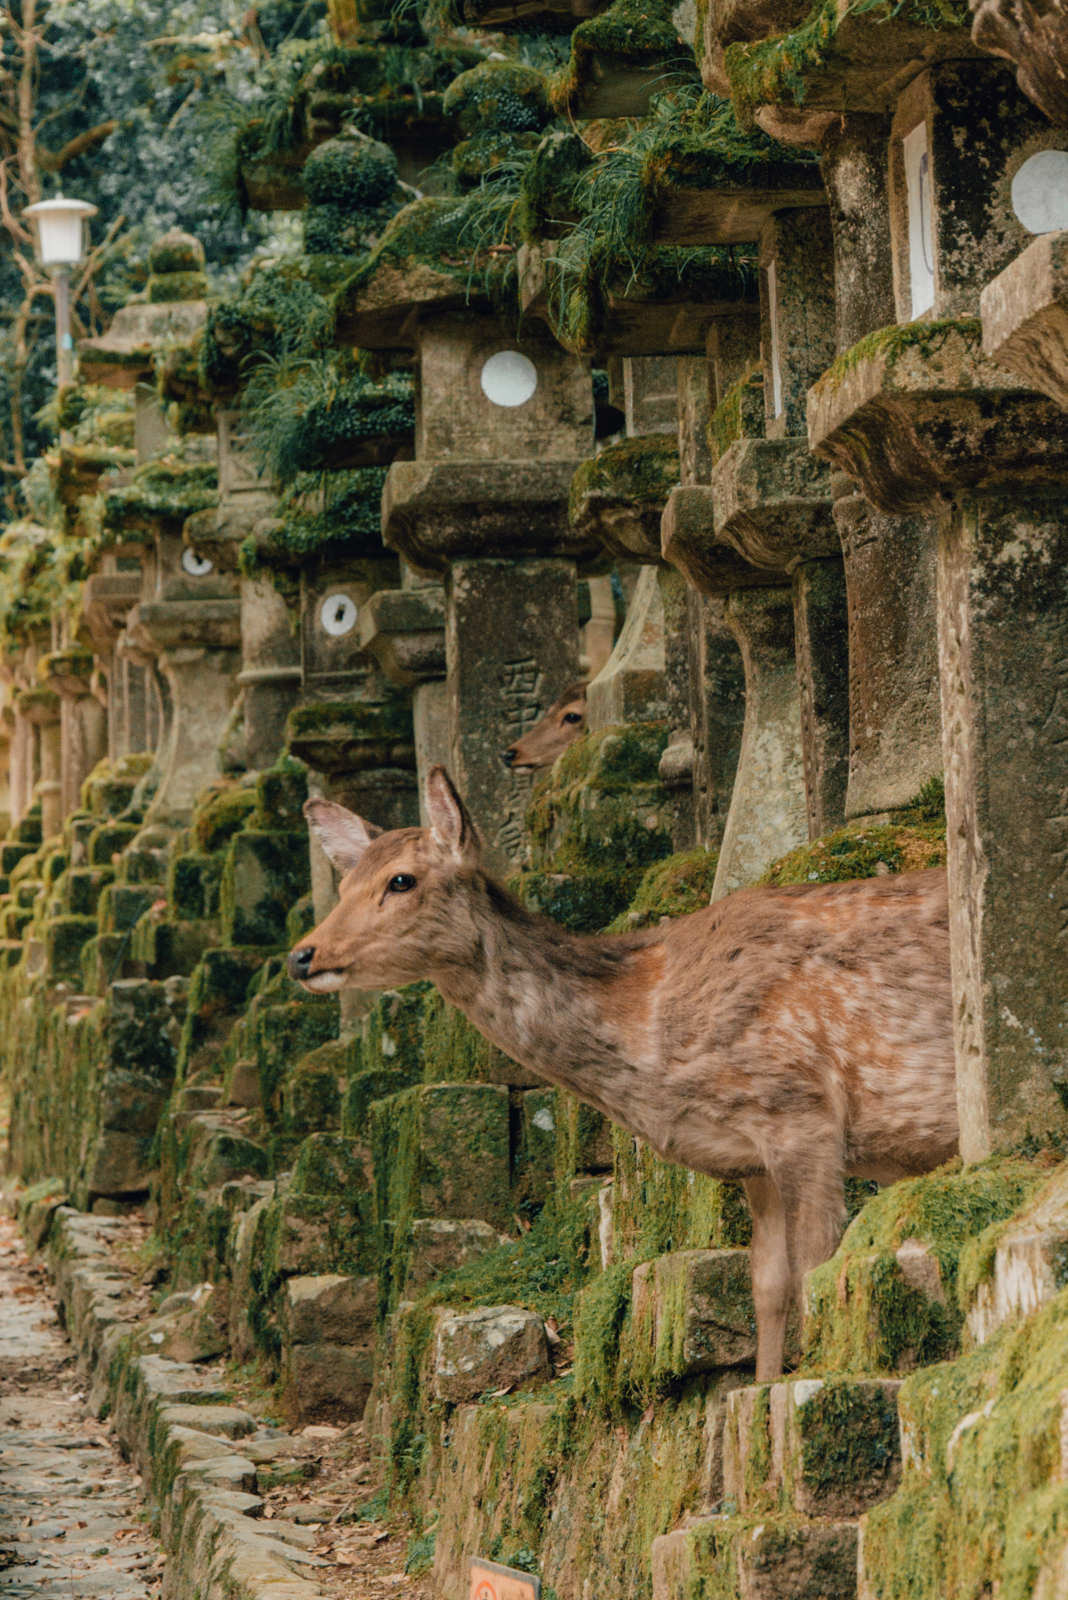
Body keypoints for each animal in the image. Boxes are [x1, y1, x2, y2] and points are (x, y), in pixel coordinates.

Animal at [289, 764, 959, 1376]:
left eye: (400, 880)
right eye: (344, 886)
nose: (302, 955)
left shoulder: (800, 1111)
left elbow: (817, 1273)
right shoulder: (752, 1160)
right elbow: (767, 1292)